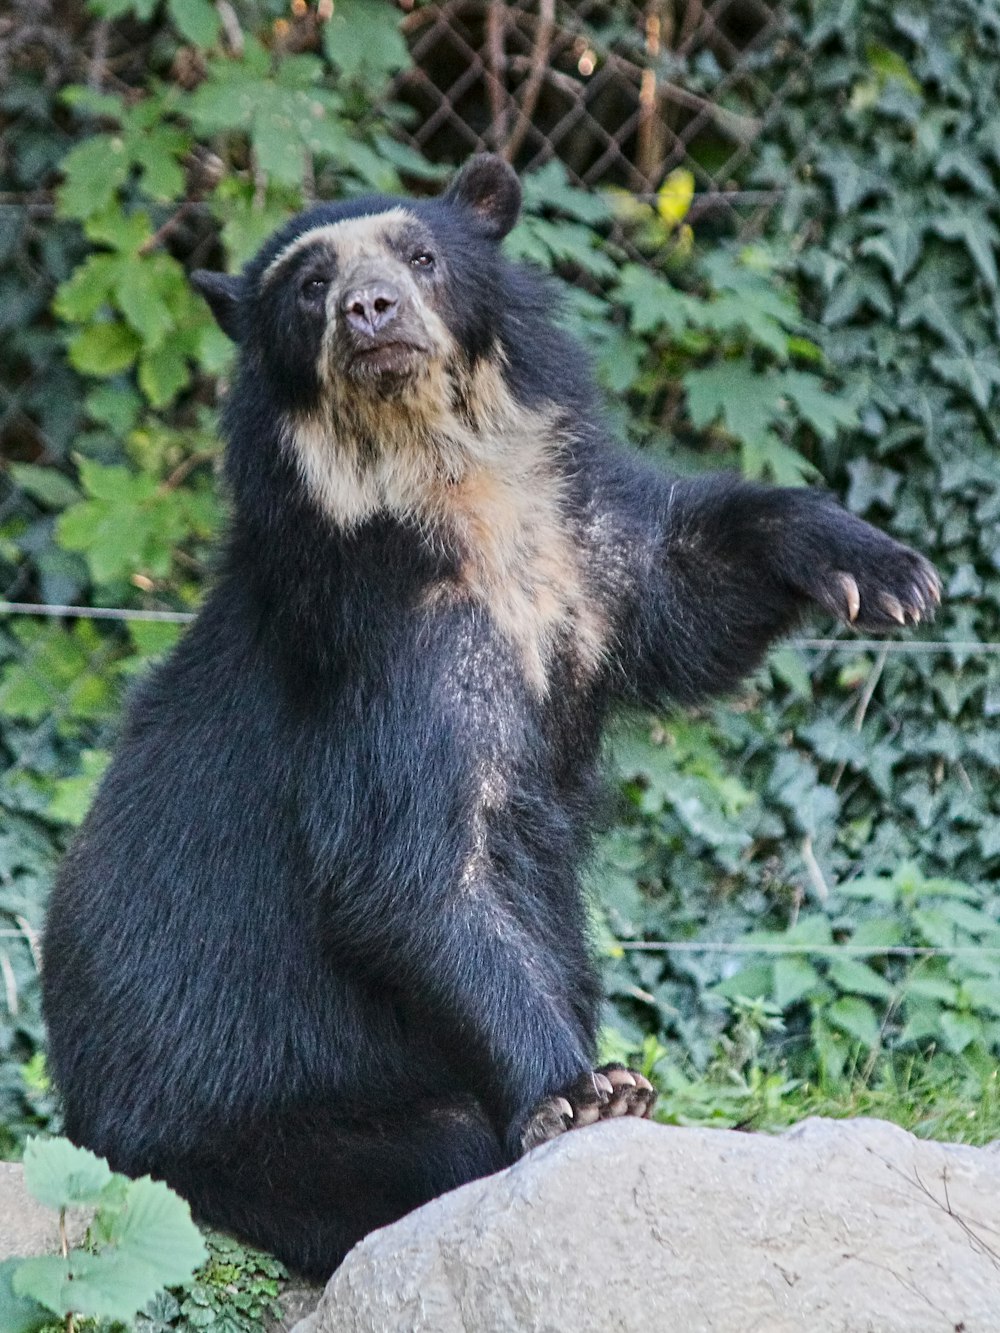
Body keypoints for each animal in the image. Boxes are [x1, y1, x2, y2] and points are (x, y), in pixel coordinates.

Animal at [43, 155, 944, 1279]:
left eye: (421, 256)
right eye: (310, 288)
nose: (370, 310)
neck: (442, 476)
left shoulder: (584, 552)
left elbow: (687, 593)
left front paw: (886, 573)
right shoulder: (387, 652)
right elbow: (415, 869)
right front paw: (587, 1093)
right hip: (254, 1127)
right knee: (431, 1144)